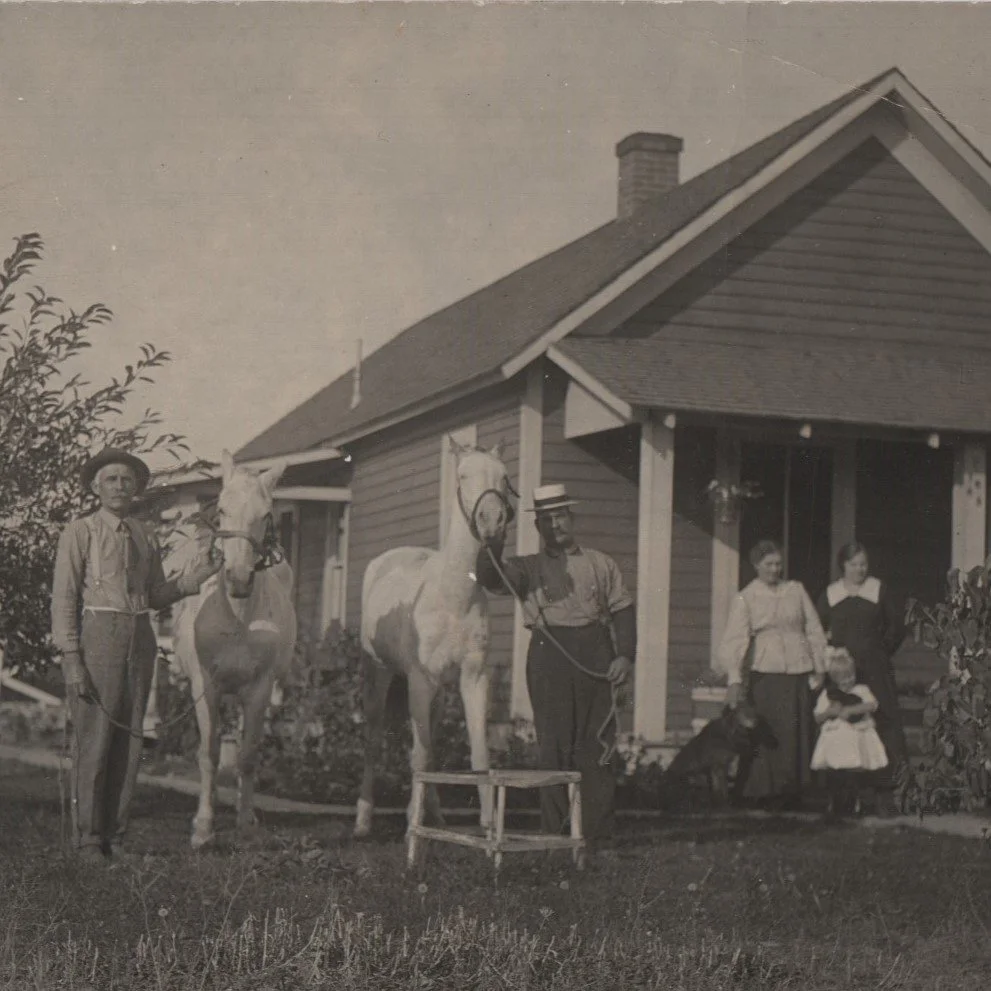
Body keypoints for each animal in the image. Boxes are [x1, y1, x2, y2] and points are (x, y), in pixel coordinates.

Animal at [167, 454, 296, 848]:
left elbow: (248, 755)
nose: (239, 579)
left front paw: (244, 823)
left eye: (266, 514)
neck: (238, 617)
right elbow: (208, 754)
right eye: (222, 509)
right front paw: (203, 826)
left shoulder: (258, 689)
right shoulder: (205, 686)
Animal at [354, 442, 512, 836]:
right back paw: (363, 819)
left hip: (439, 691)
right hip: (380, 675)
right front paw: (412, 820)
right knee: (374, 738)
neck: (454, 596)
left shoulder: (473, 677)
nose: (492, 520)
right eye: (463, 475)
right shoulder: (419, 680)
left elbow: (478, 750)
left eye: (504, 476)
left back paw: (435, 812)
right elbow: (420, 754)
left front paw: (488, 823)